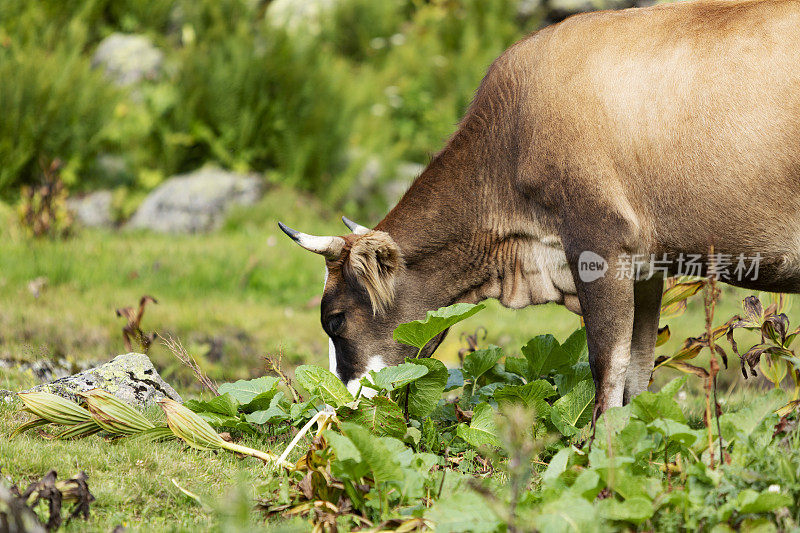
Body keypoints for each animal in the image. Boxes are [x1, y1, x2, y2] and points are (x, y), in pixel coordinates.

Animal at [278, 0, 800, 416]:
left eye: (334, 319)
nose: (338, 404)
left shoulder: (598, 242)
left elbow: (608, 363)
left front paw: (600, 451)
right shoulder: (646, 265)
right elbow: (638, 366)